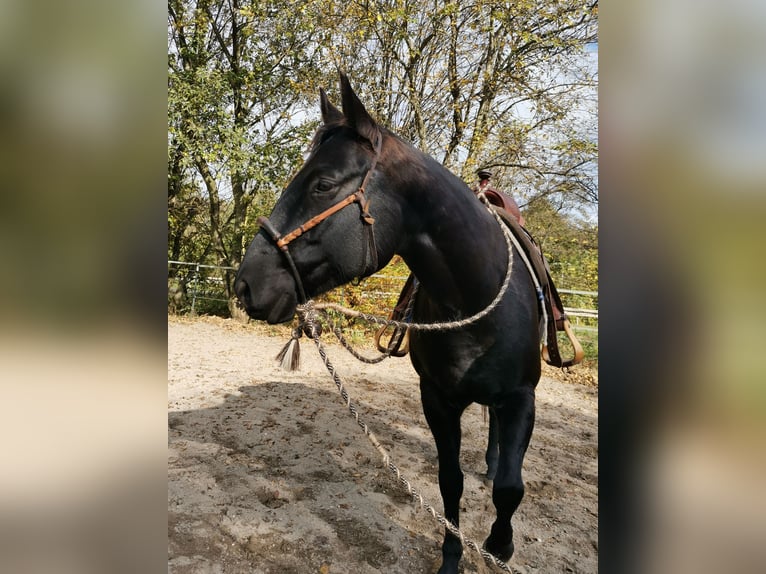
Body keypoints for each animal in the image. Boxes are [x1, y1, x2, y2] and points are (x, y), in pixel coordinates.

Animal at [237, 74, 544, 572]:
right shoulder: (437, 400)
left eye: (323, 184)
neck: (475, 301)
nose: (246, 284)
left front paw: (500, 547)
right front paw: (453, 556)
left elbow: (509, 490)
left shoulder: (521, 397)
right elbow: (449, 481)